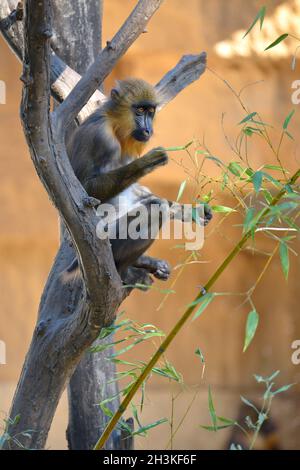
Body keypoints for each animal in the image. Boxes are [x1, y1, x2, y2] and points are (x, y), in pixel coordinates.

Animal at [67, 78, 212, 282]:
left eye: (150, 111)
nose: (148, 129)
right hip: (109, 238)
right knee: (156, 207)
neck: (115, 126)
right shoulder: (98, 136)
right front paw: (148, 161)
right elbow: (85, 189)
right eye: (140, 110)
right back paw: (122, 269)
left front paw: (192, 211)